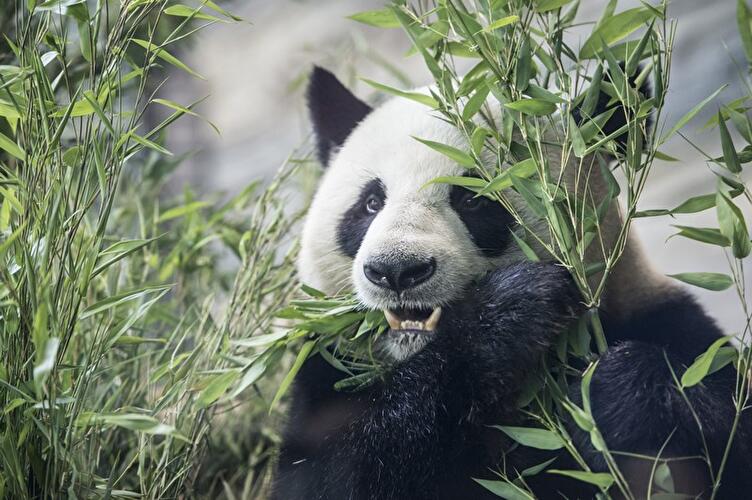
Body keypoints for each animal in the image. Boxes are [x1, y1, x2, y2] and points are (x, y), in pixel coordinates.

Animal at [271, 66, 752, 499]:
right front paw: (506, 315)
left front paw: (615, 393)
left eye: (472, 199)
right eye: (371, 202)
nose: (396, 270)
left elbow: (726, 432)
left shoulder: (662, 321)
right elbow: (333, 475)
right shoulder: (326, 374)